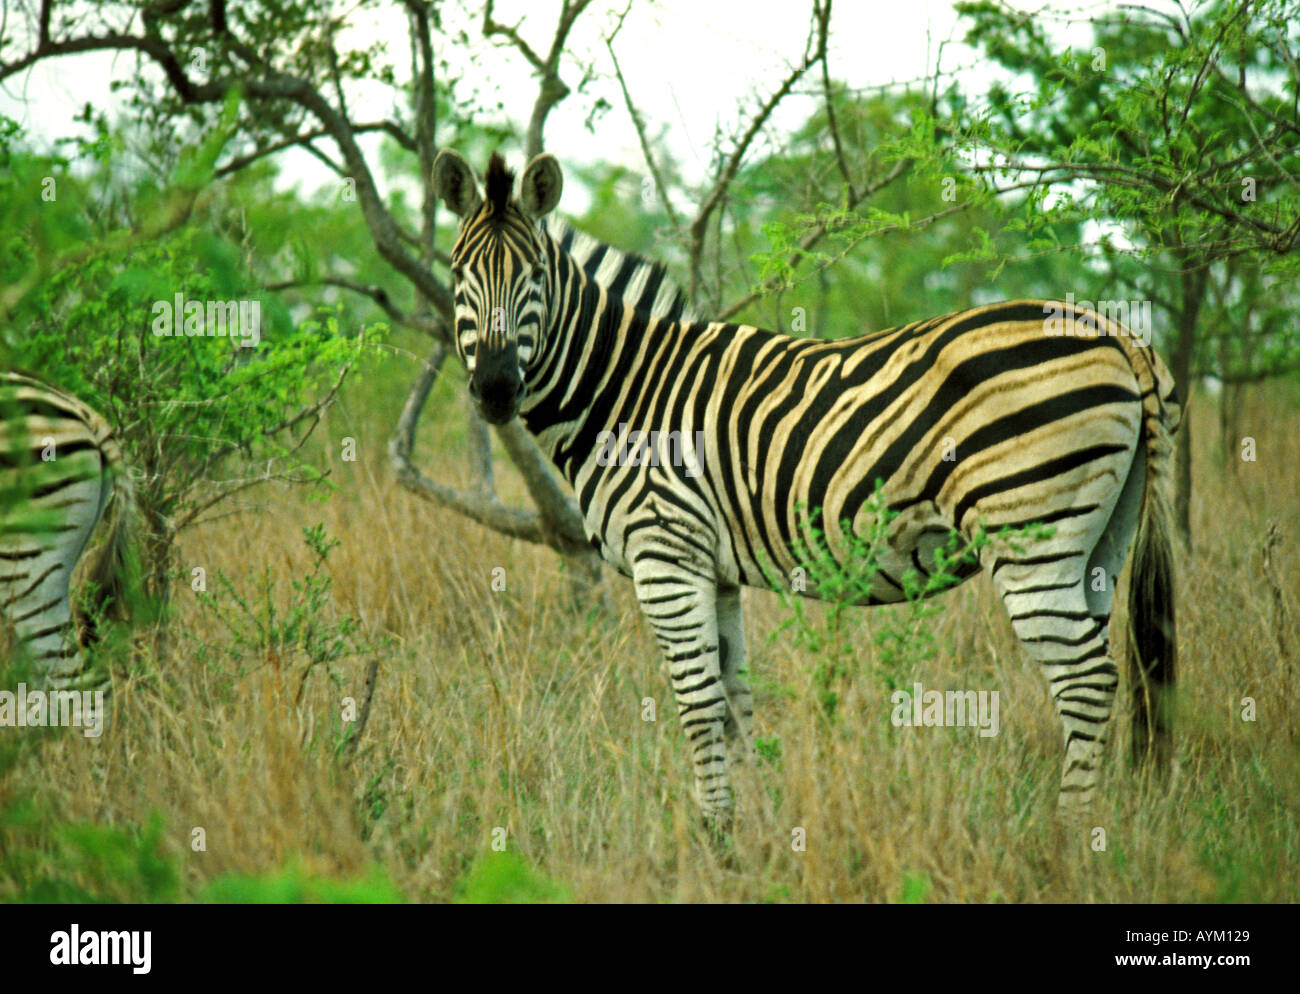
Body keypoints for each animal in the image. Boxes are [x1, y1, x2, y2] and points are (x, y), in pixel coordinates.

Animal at [434, 149, 1180, 821]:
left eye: (534, 276)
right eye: (458, 273)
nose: (495, 389)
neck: (626, 390)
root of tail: (1118, 334)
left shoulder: (664, 554)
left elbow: (697, 706)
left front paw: (715, 839)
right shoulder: (713, 568)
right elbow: (733, 703)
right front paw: (751, 836)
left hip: (1030, 535)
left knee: (1086, 683)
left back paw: (1067, 839)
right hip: (1099, 542)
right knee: (1106, 677)